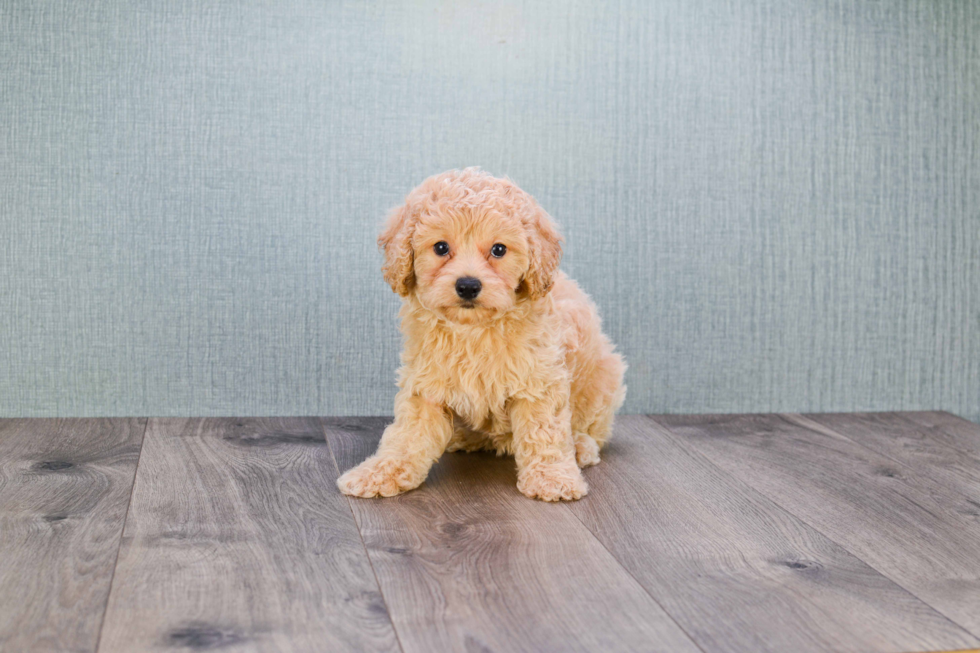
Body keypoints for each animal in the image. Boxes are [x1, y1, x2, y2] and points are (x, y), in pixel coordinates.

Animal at [336, 167, 628, 500]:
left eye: (498, 249)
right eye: (440, 247)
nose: (467, 285)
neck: (473, 329)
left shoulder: (539, 379)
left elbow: (544, 432)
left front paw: (552, 478)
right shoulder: (426, 383)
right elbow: (407, 436)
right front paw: (379, 472)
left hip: (603, 378)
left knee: (591, 429)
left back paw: (580, 446)